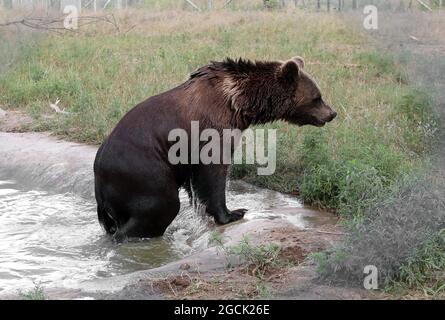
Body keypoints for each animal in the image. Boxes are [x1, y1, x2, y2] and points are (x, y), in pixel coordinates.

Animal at [94, 57, 336, 240]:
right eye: (317, 97)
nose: (332, 113)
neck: (239, 104)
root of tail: (99, 173)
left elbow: (196, 182)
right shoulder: (211, 128)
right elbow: (213, 172)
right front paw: (233, 212)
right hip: (143, 171)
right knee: (162, 204)